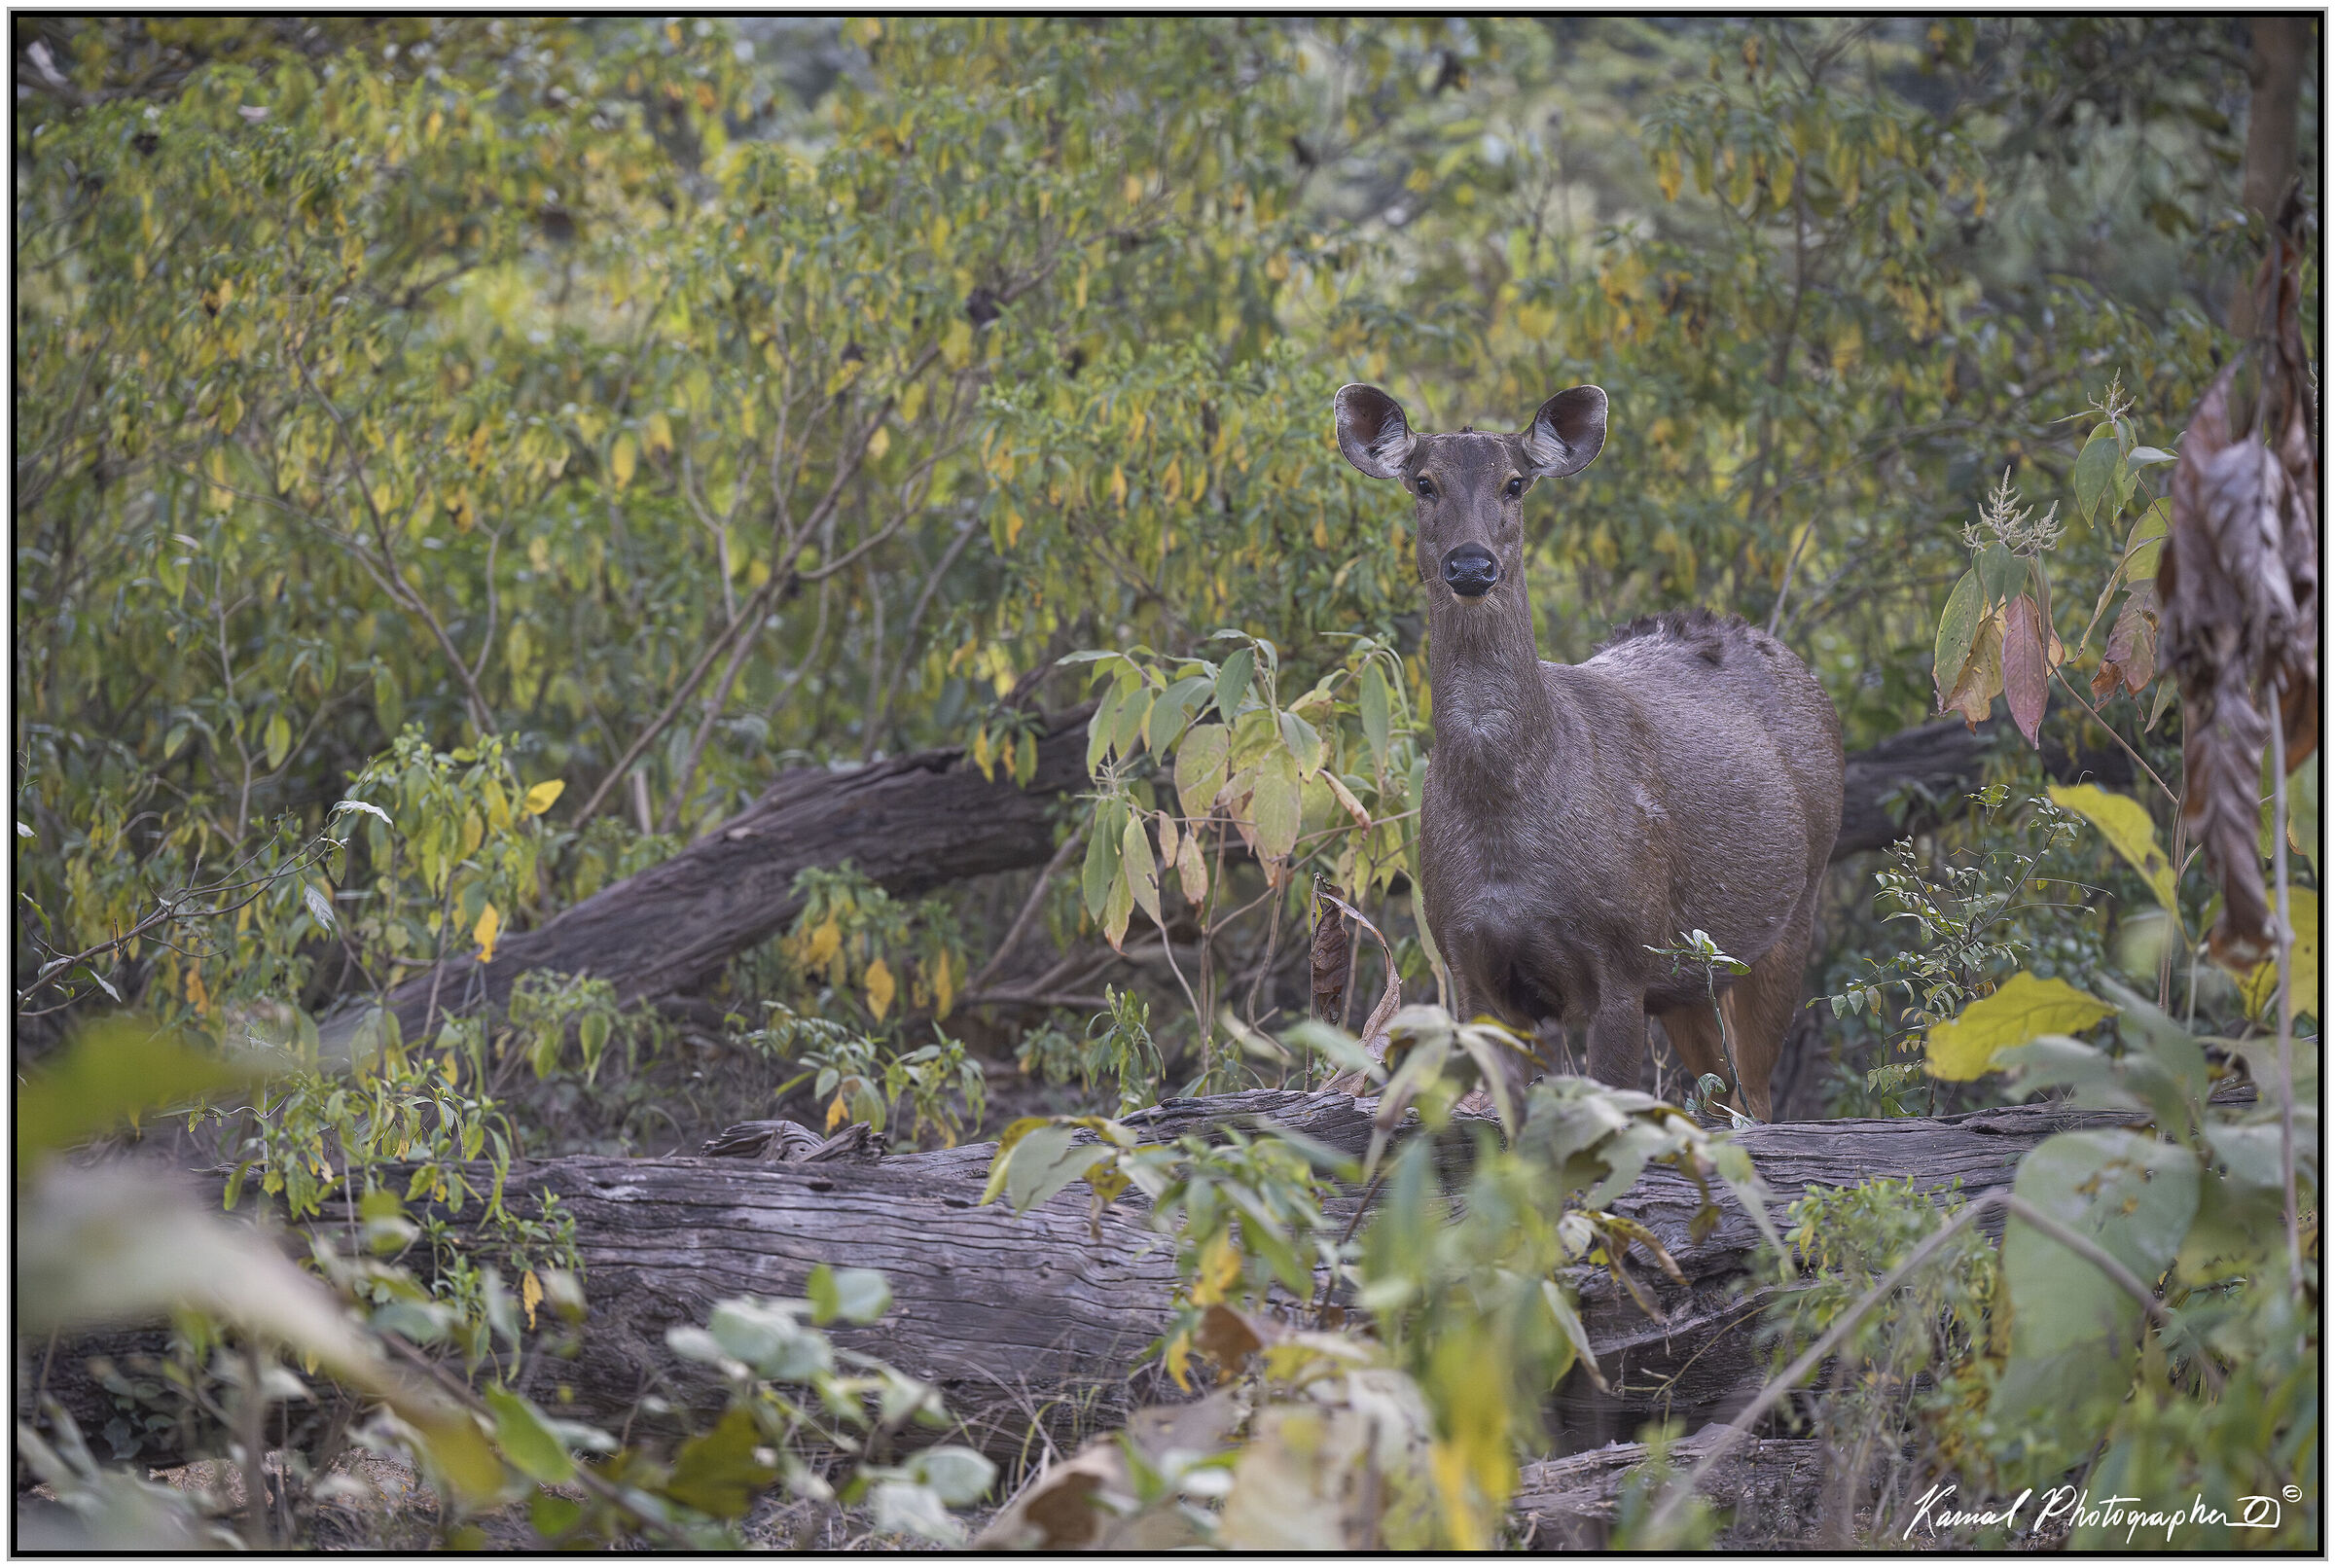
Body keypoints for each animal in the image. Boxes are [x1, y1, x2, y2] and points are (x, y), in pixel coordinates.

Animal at [1333, 382, 1843, 1120]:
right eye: (1424, 483)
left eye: (1515, 483)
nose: (1471, 564)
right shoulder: (1470, 969)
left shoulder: (1623, 958)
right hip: (1686, 980)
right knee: (1721, 1096)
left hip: (1790, 918)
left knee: (1757, 1097)